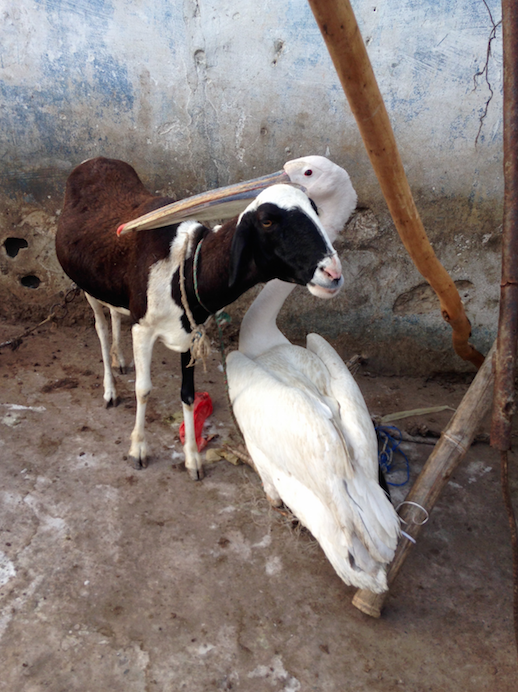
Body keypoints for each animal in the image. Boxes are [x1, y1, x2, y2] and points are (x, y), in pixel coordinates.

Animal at [55, 159, 346, 478]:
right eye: (267, 221)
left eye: (315, 210)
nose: (332, 273)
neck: (184, 267)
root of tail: (96, 161)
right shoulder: (143, 329)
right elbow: (143, 390)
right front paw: (138, 450)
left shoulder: (189, 332)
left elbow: (188, 394)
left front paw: (193, 459)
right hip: (88, 289)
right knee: (102, 330)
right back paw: (110, 388)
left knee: (116, 317)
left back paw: (120, 359)